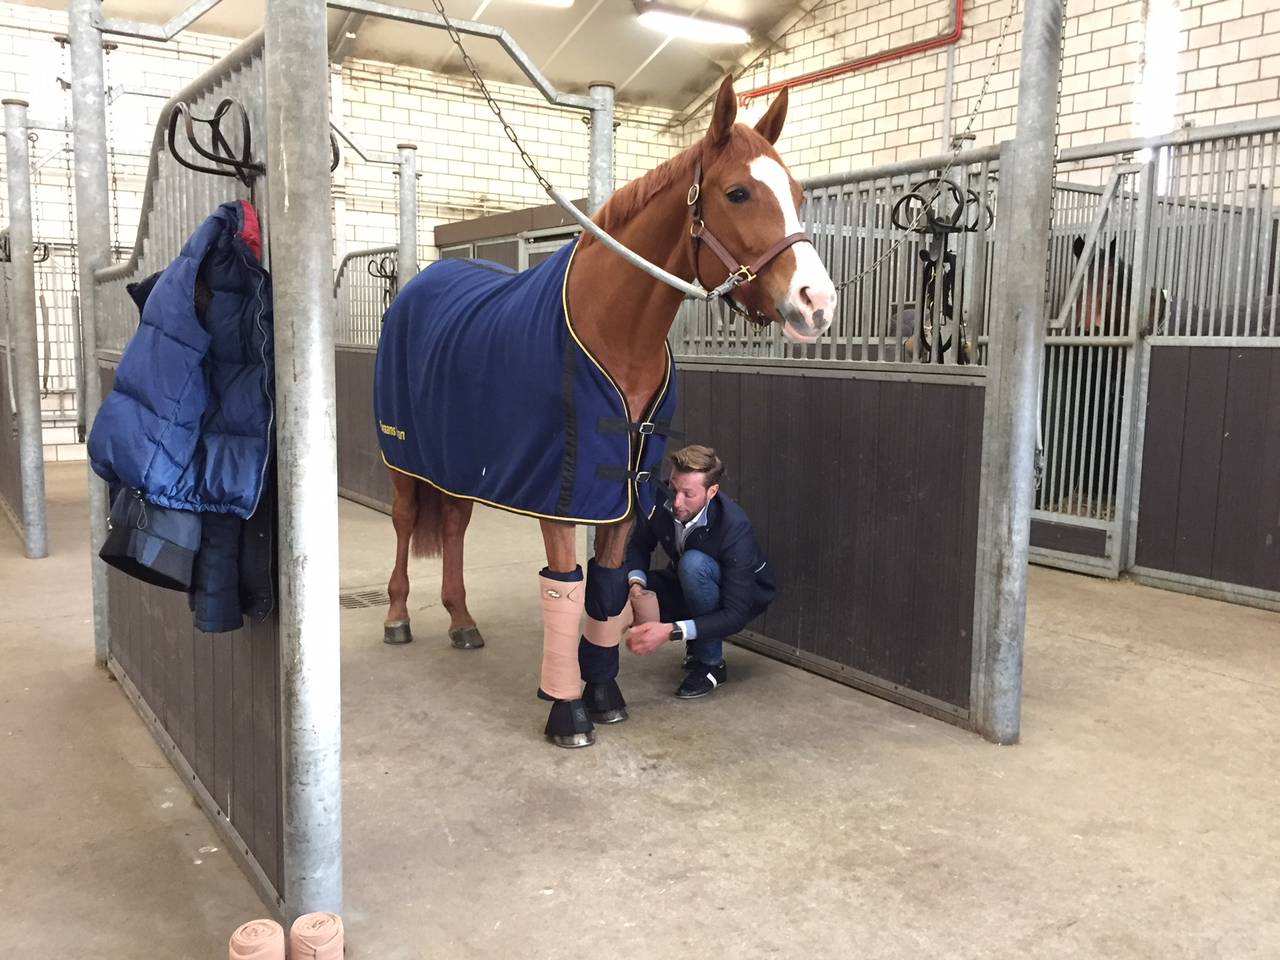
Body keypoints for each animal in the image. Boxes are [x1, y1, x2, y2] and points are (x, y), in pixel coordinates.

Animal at [372, 77, 837, 748]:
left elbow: (609, 588)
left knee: (455, 526)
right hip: (404, 457)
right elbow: (564, 590)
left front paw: (604, 693)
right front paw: (567, 713)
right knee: (408, 524)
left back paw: (461, 621)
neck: (613, 333)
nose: (818, 303)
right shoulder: (562, 495)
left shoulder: (625, 490)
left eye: (798, 194)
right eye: (738, 192)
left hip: (458, 460)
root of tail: (417, 288)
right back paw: (398, 616)